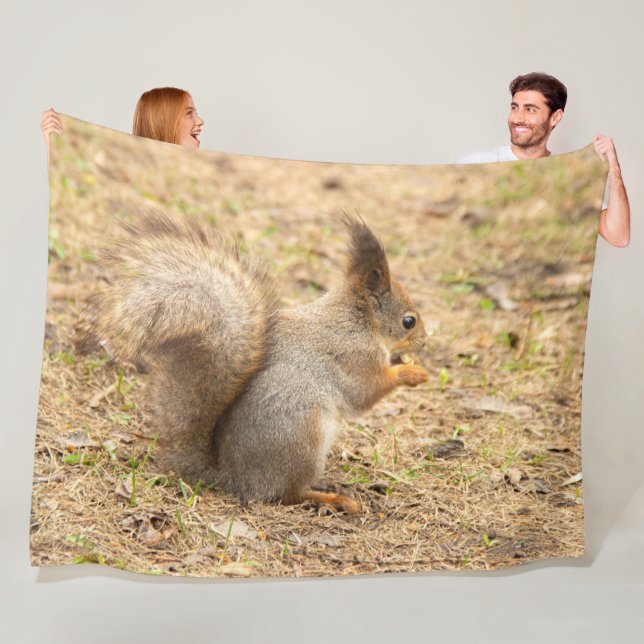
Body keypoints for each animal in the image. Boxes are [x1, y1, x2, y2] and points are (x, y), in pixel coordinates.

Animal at [81, 211, 429, 514]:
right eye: (408, 321)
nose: (425, 341)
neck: (357, 322)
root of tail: (234, 479)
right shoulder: (354, 357)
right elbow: (366, 393)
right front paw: (412, 372)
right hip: (303, 437)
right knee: (287, 494)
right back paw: (333, 499)